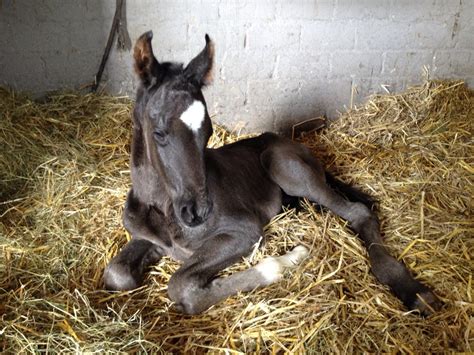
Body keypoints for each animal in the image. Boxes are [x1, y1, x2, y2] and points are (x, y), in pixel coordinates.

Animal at [103, 31, 440, 318]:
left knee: (359, 212)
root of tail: (293, 144)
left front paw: (287, 260)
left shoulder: (244, 231)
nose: (198, 213)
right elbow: (116, 274)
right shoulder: (146, 239)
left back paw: (413, 291)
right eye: (159, 132)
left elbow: (181, 286)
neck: (160, 208)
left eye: (208, 132)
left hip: (283, 166)